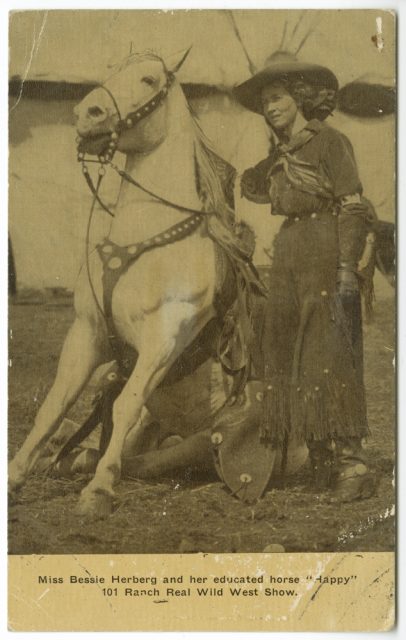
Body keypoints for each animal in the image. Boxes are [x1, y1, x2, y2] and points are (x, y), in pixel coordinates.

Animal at [8, 50, 304, 520]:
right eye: (111, 71)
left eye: (147, 80)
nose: (87, 113)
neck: (144, 244)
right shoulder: (87, 334)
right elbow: (54, 405)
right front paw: (15, 476)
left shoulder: (164, 339)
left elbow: (125, 401)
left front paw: (98, 491)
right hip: (157, 424)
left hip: (201, 443)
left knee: (147, 458)